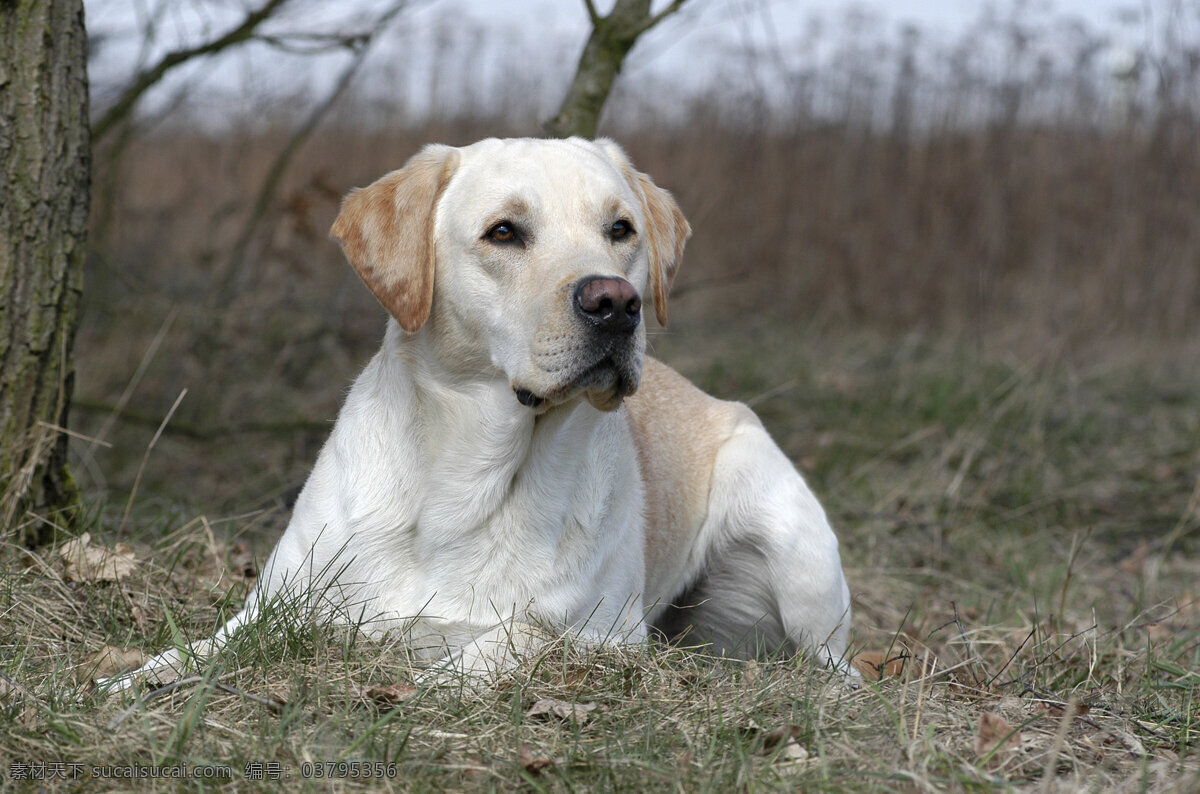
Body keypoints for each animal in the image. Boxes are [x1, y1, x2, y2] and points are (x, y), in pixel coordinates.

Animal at [112, 139, 849, 686]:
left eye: (621, 230)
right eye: (504, 232)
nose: (616, 303)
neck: (468, 482)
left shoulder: (604, 635)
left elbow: (509, 639)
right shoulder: (274, 609)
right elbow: (185, 656)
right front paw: (124, 684)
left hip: (792, 545)